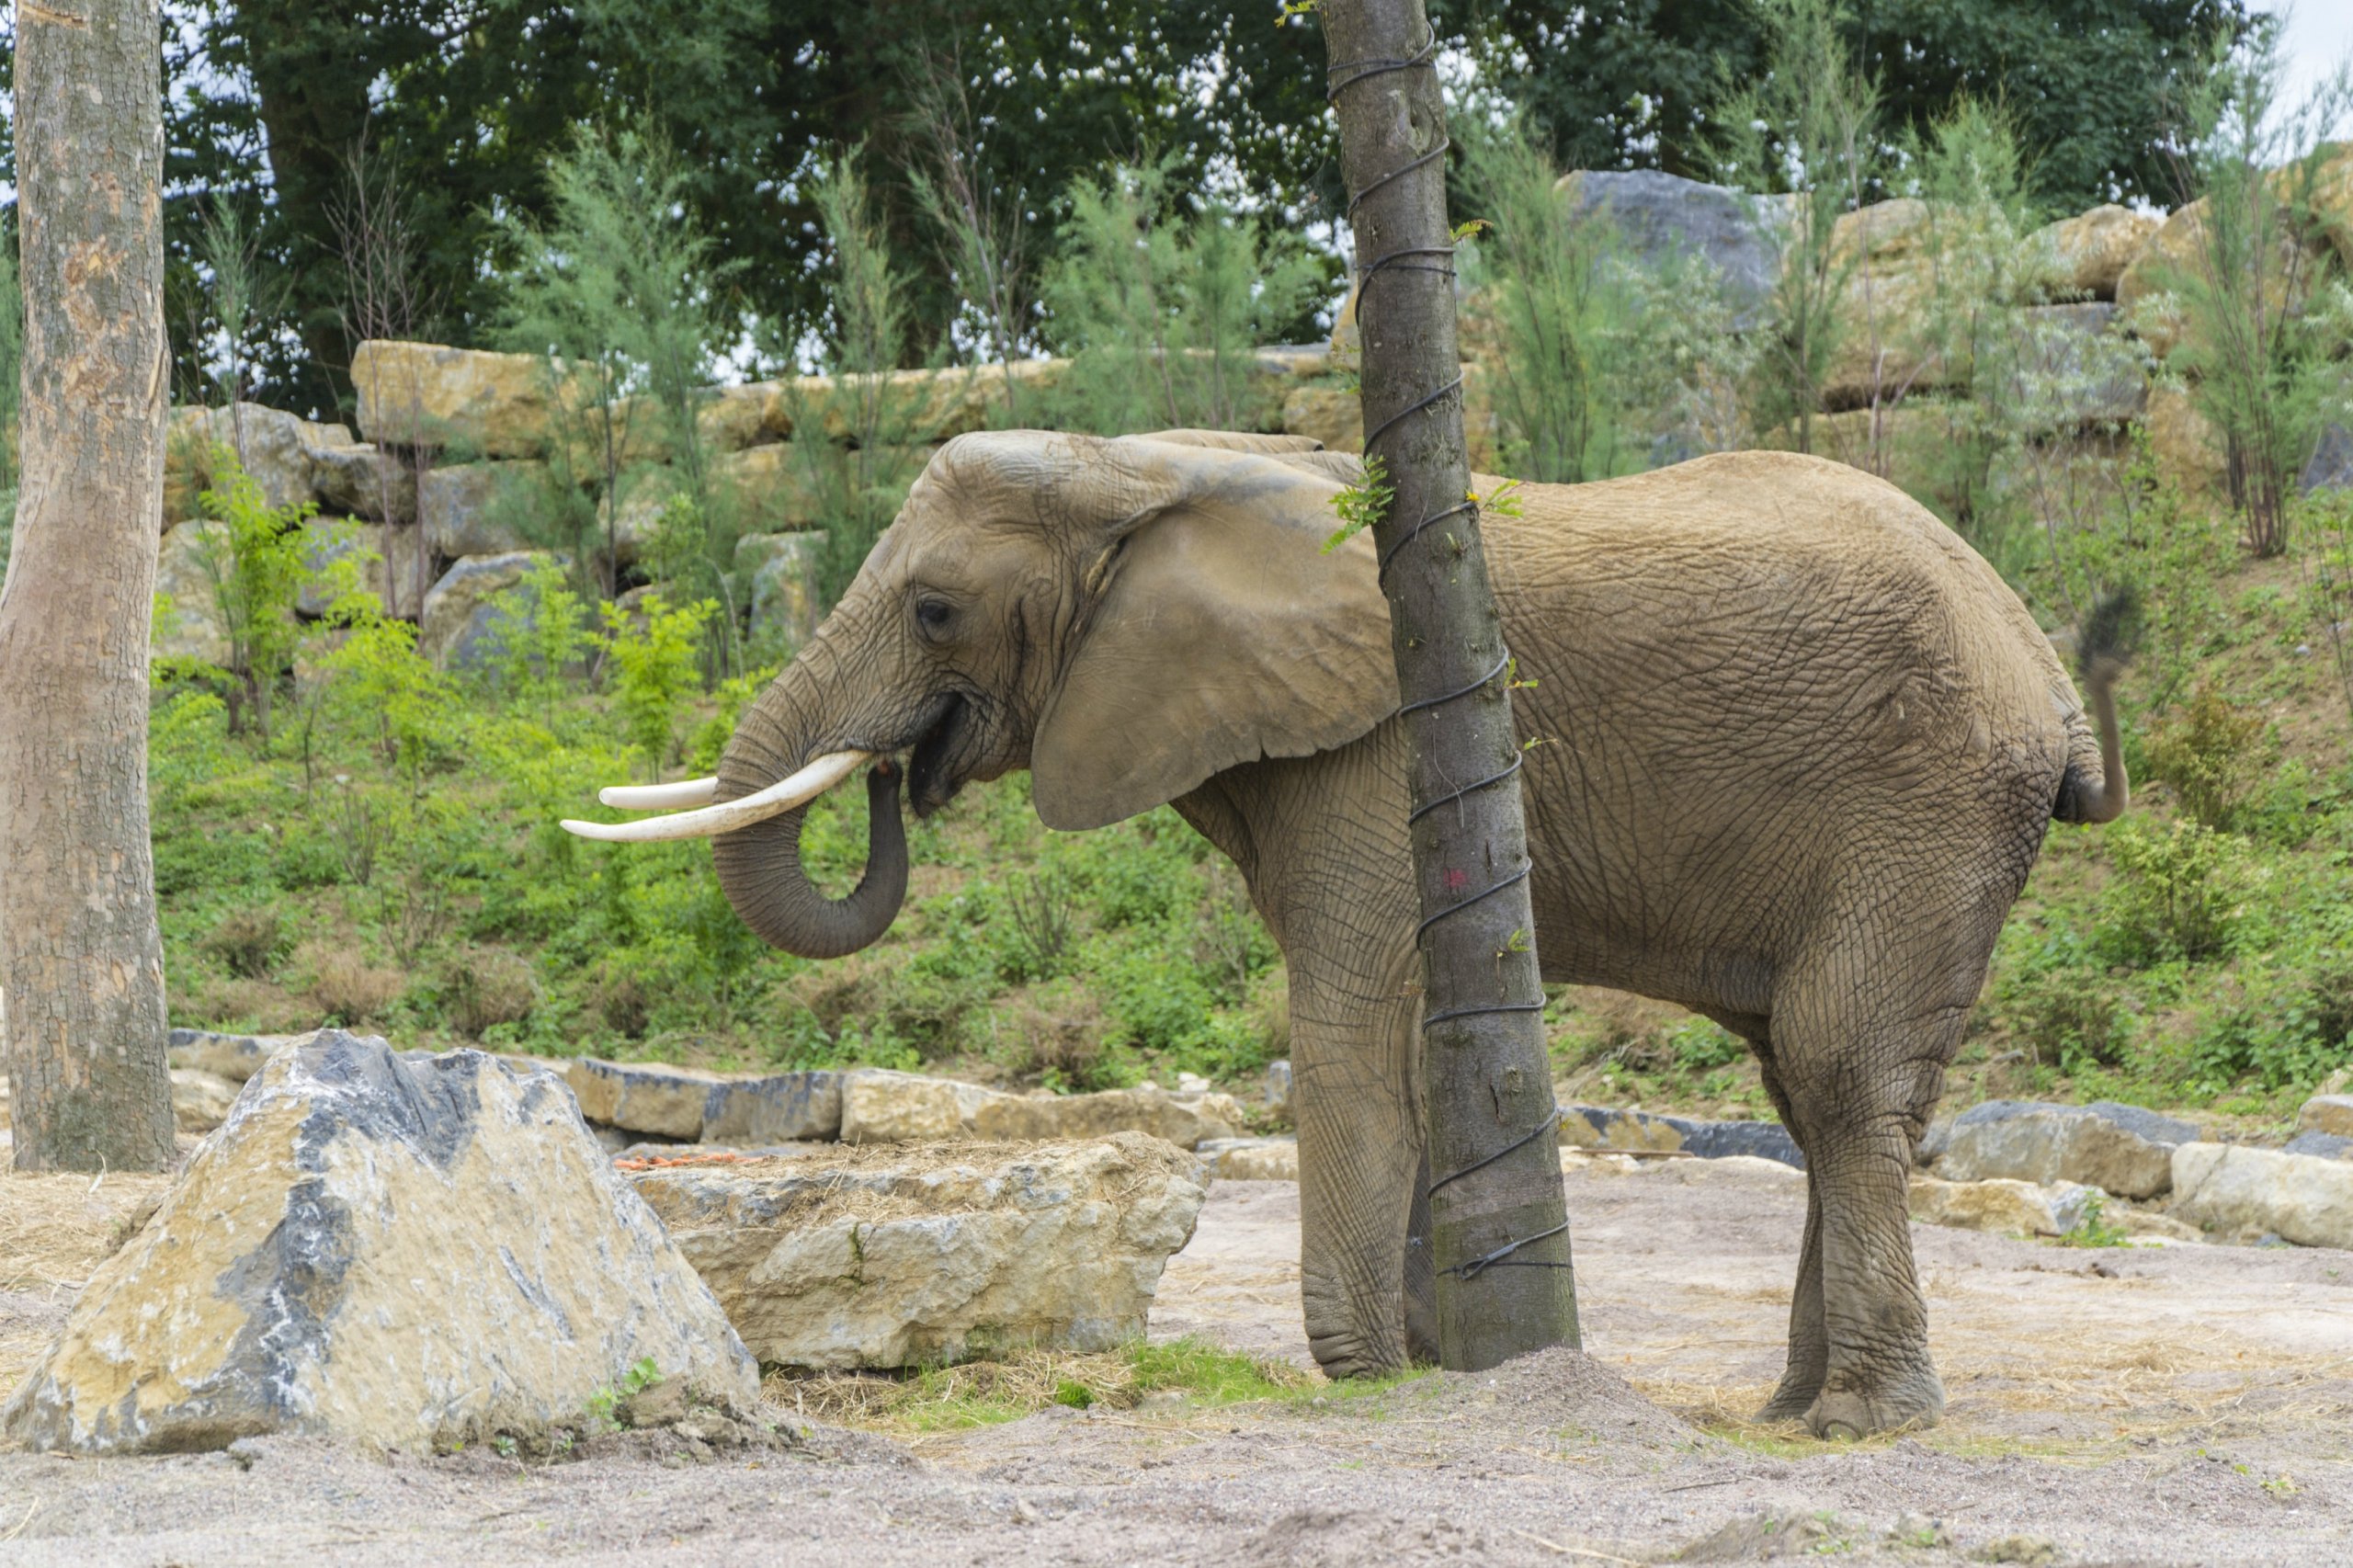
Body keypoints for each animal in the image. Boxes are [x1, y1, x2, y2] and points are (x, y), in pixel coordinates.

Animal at [569, 424, 2136, 1431]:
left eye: (938, 609)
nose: (905, 773)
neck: (1150, 465)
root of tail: (2049, 673)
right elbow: (1402, 1027)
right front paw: (1447, 1373)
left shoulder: (1385, 736)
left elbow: (1347, 1011)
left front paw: (1373, 1377)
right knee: (1808, 1087)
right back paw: (1792, 1407)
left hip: (1922, 812)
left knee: (1835, 1074)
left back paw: (1861, 1422)